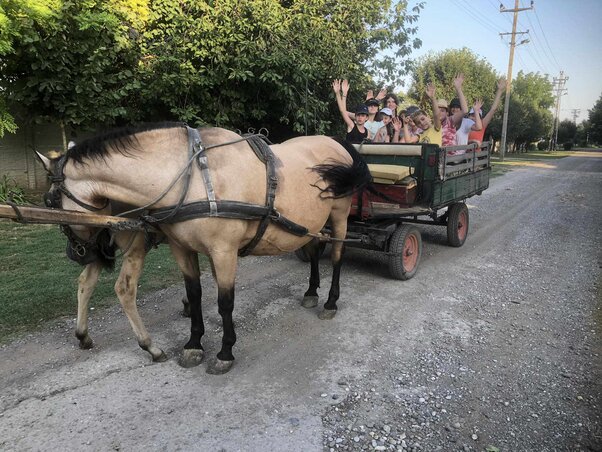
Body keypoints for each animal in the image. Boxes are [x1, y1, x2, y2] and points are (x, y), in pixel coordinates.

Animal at [37, 123, 368, 374]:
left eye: (50, 202)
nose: (75, 253)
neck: (194, 178)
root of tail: (336, 142)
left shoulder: (224, 252)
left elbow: (225, 303)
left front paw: (225, 352)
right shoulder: (181, 249)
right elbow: (195, 294)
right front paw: (194, 344)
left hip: (339, 217)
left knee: (336, 257)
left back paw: (330, 302)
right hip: (312, 223)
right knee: (314, 252)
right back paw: (311, 292)